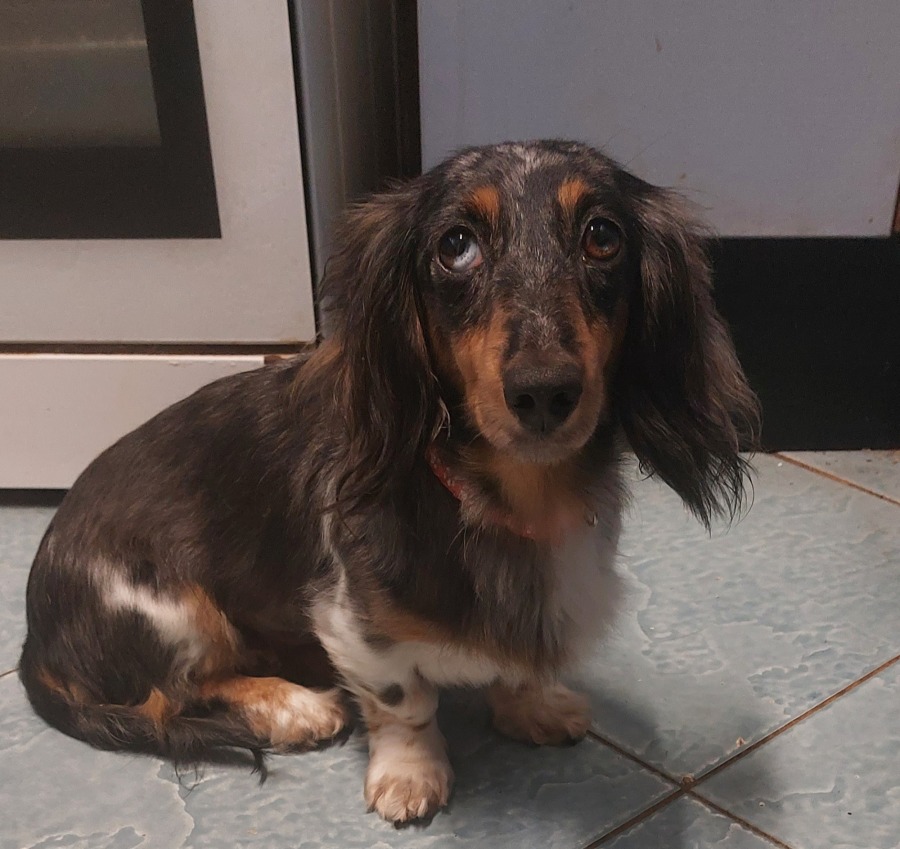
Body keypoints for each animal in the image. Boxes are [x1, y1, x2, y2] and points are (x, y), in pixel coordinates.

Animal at [20, 140, 758, 823]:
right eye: (455, 245)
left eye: (603, 235)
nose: (544, 391)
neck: (512, 498)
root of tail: (36, 635)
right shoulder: (351, 622)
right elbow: (405, 702)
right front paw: (410, 774)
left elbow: (518, 664)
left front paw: (532, 706)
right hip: (172, 610)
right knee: (178, 687)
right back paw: (291, 704)